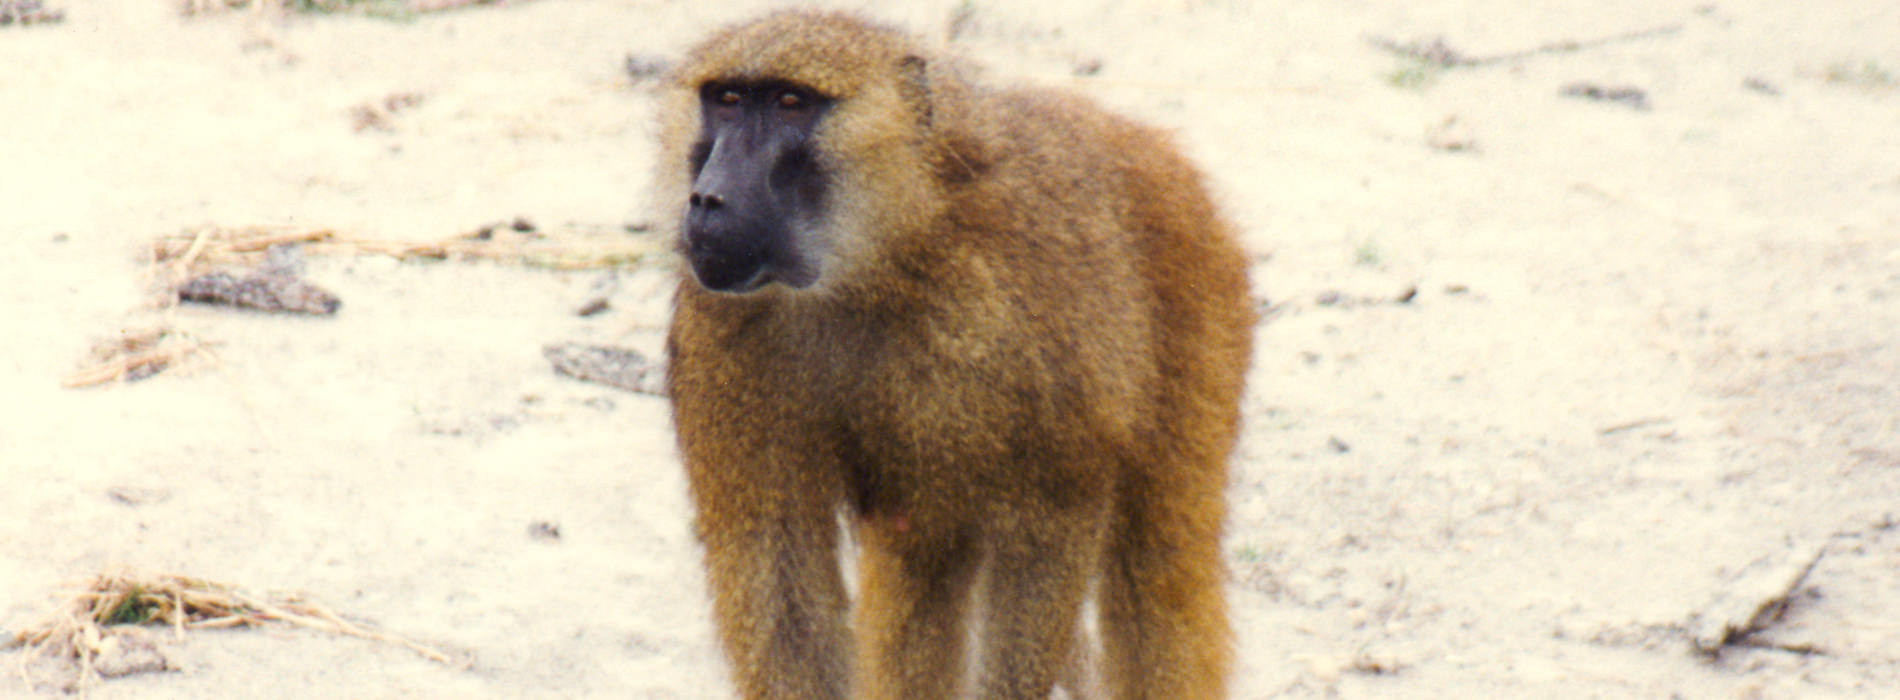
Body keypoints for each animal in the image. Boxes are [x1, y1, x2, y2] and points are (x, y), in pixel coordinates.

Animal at [657, 11, 1253, 700]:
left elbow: (1050, 524)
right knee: (925, 561)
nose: (709, 199)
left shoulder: (1018, 334)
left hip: (1201, 292)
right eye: (727, 101)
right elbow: (776, 559)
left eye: (789, 104)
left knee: (1156, 570)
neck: (876, 262)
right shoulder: (721, 335)